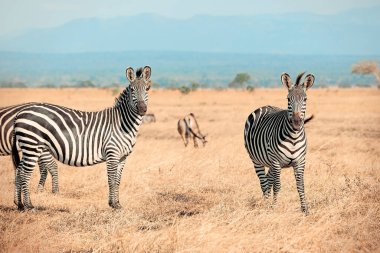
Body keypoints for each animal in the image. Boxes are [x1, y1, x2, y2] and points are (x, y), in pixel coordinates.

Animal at [11, 65, 151, 210]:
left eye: (147, 88)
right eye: (132, 89)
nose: (142, 109)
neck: (123, 124)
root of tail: (19, 113)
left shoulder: (122, 157)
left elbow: (118, 181)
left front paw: (117, 204)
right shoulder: (112, 153)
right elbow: (111, 180)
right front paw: (112, 204)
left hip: (28, 147)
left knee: (19, 171)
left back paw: (19, 204)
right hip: (32, 146)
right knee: (25, 174)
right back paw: (29, 206)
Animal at [243, 72, 314, 214]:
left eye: (305, 99)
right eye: (288, 99)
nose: (297, 123)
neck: (293, 137)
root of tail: (264, 106)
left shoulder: (300, 161)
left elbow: (300, 185)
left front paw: (305, 210)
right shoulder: (276, 162)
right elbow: (277, 186)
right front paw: (275, 207)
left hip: (269, 162)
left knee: (268, 180)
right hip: (256, 160)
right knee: (264, 183)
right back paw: (267, 205)